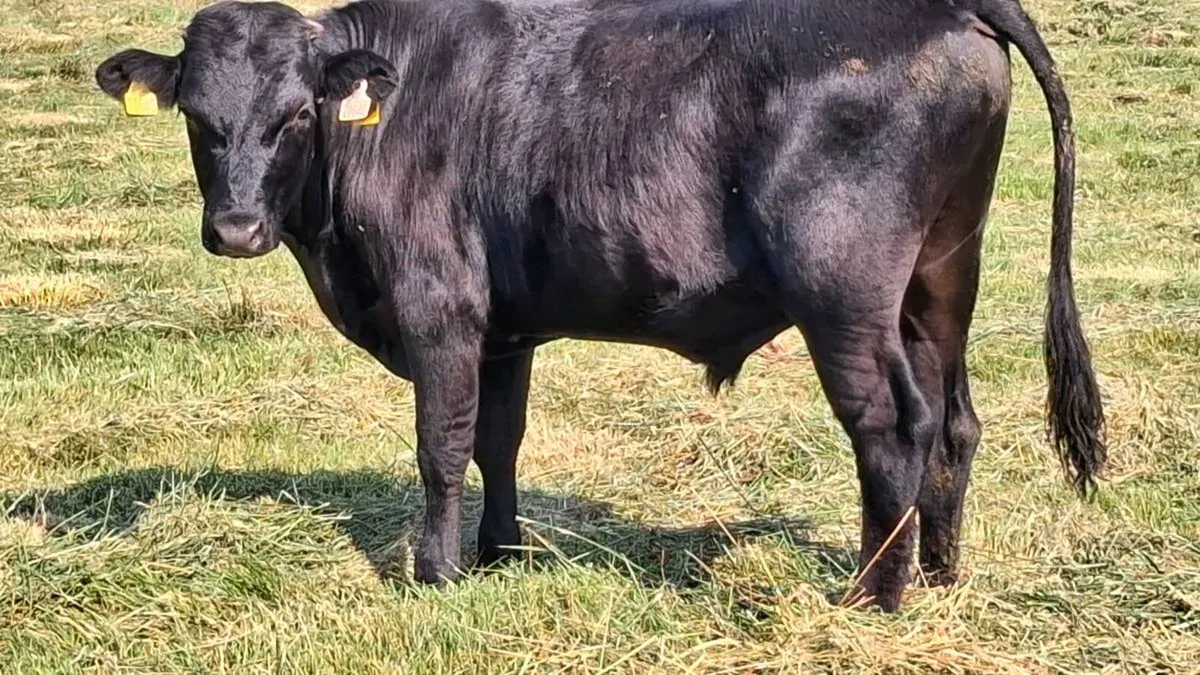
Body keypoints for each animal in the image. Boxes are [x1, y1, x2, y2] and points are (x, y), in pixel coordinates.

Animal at [95, 0, 1107, 612]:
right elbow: (498, 439)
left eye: (297, 115)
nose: (235, 229)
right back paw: (938, 575)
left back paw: (872, 597)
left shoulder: (440, 305)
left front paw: (435, 571)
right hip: (939, 278)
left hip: (845, 291)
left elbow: (441, 446)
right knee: (955, 420)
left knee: (894, 425)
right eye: (199, 118)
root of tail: (949, 7)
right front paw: (501, 552)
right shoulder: (505, 327)